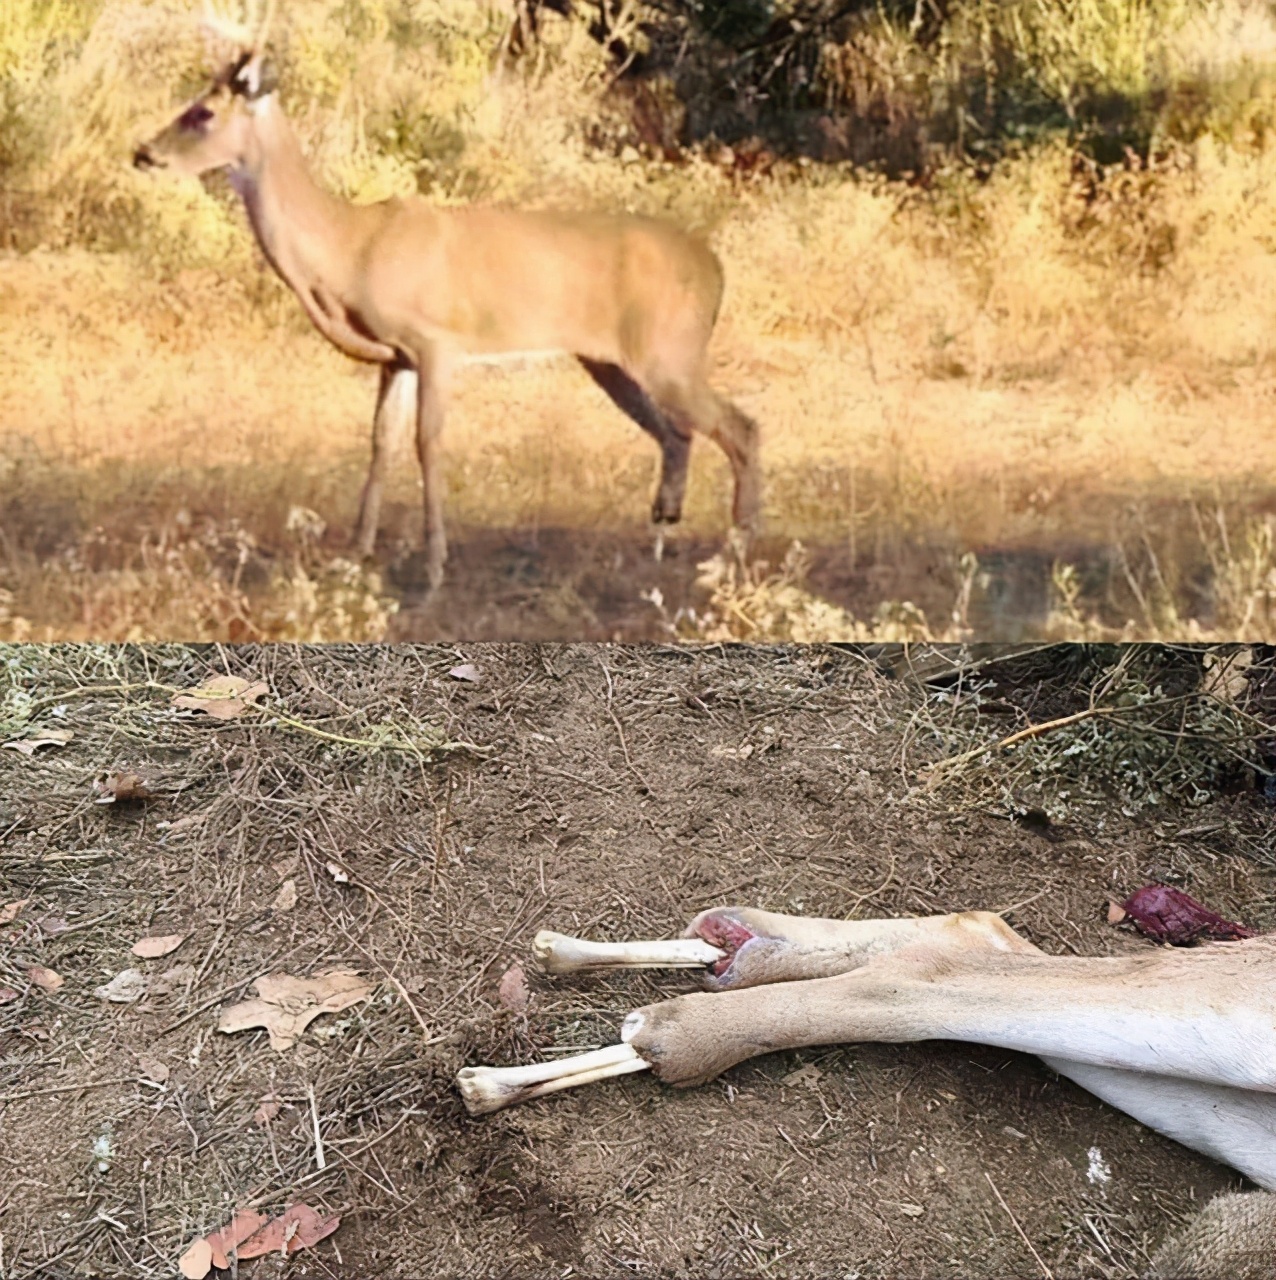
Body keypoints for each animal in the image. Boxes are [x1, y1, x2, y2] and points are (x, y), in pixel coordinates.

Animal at [133, 0, 762, 588]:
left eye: (202, 112)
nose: (143, 153)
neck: (349, 248)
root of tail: (716, 267)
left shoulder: (436, 340)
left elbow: (427, 441)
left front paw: (434, 564)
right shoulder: (396, 358)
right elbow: (380, 440)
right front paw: (357, 551)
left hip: (668, 350)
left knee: (742, 427)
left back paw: (737, 554)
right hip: (610, 361)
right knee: (678, 433)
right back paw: (663, 535)